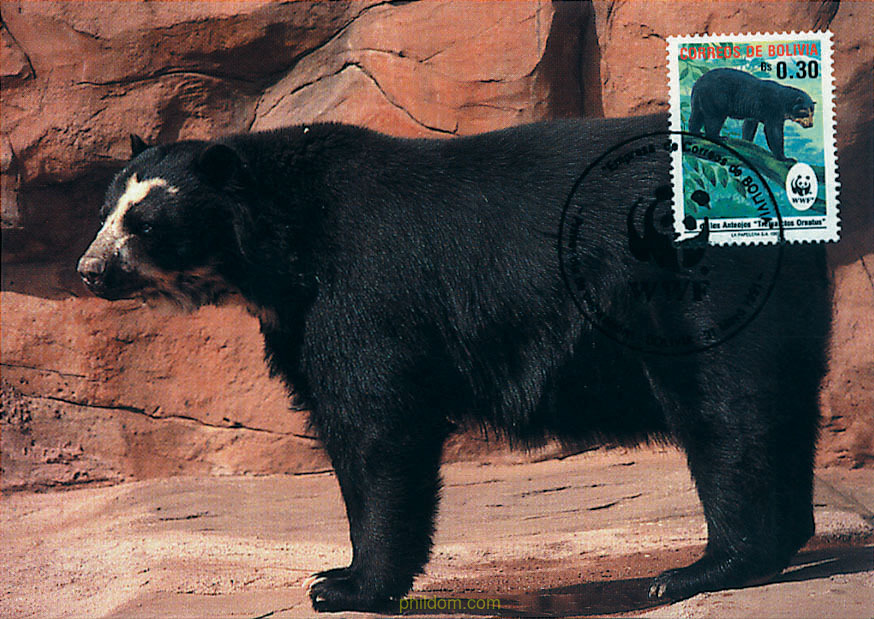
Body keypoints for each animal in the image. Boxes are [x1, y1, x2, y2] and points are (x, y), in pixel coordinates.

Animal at [77, 115, 829, 612]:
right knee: (778, 402)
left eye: (144, 224)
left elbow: (376, 425)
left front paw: (344, 586)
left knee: (724, 407)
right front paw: (337, 570)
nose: (89, 271)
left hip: (695, 279)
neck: (278, 249)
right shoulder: (296, 316)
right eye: (106, 210)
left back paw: (704, 568)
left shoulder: (363, 289)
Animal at [687, 67, 816, 161]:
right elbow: (774, 132)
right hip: (716, 97)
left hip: (699, 99)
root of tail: (698, 82)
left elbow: (749, 125)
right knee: (714, 119)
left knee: (696, 116)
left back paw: (695, 132)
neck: (784, 102)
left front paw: (747, 142)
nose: (810, 124)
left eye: (812, 112)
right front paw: (784, 157)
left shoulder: (754, 112)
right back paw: (717, 136)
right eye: (805, 112)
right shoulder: (773, 109)